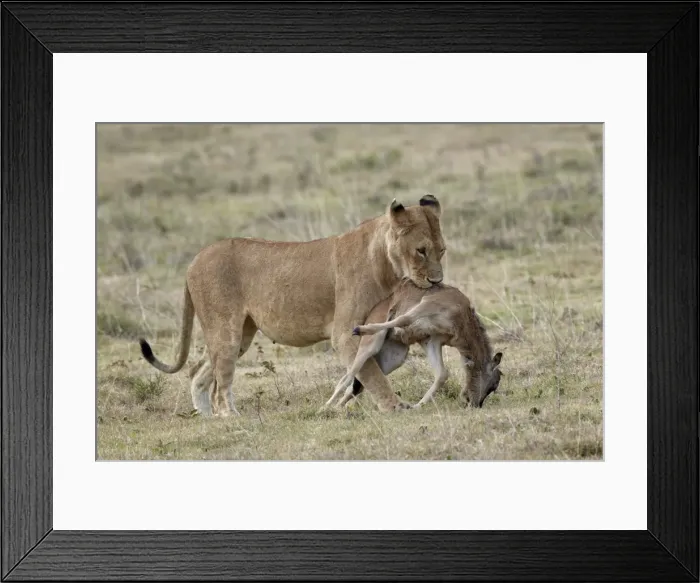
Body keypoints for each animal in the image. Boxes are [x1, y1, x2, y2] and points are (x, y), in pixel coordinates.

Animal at [138, 194, 447, 416]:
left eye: (442, 250)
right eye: (421, 251)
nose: (437, 281)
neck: (387, 265)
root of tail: (195, 259)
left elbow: (366, 372)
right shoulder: (345, 333)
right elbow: (371, 373)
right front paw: (394, 407)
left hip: (241, 334)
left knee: (199, 371)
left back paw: (207, 418)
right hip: (225, 329)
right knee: (219, 382)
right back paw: (231, 418)